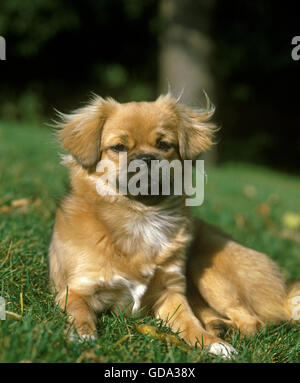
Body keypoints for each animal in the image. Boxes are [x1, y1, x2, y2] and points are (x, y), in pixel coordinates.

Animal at [48, 94, 298, 358]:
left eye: (164, 145)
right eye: (118, 148)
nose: (147, 158)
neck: (141, 216)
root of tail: (284, 290)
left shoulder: (171, 293)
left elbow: (190, 322)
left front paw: (212, 344)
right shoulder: (75, 290)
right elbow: (80, 312)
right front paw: (82, 336)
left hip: (206, 264)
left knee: (253, 322)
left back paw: (222, 331)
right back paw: (218, 326)